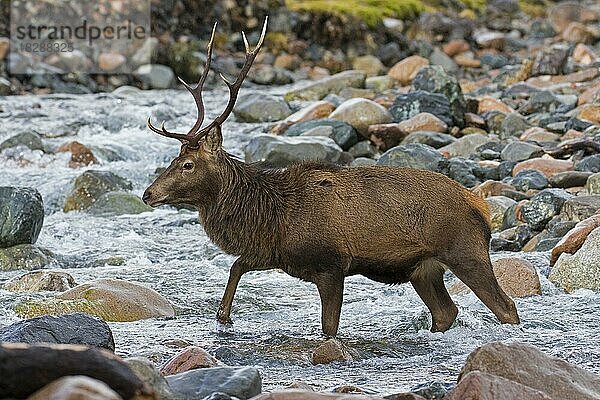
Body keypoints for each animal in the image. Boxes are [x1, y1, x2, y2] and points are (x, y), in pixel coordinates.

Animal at [142, 18, 520, 338]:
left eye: (187, 164)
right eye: (175, 158)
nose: (148, 194)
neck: (271, 217)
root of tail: (481, 207)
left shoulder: (331, 264)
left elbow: (329, 327)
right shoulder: (274, 255)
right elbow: (236, 266)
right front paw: (223, 318)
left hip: (466, 250)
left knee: (506, 306)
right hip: (423, 269)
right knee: (446, 312)